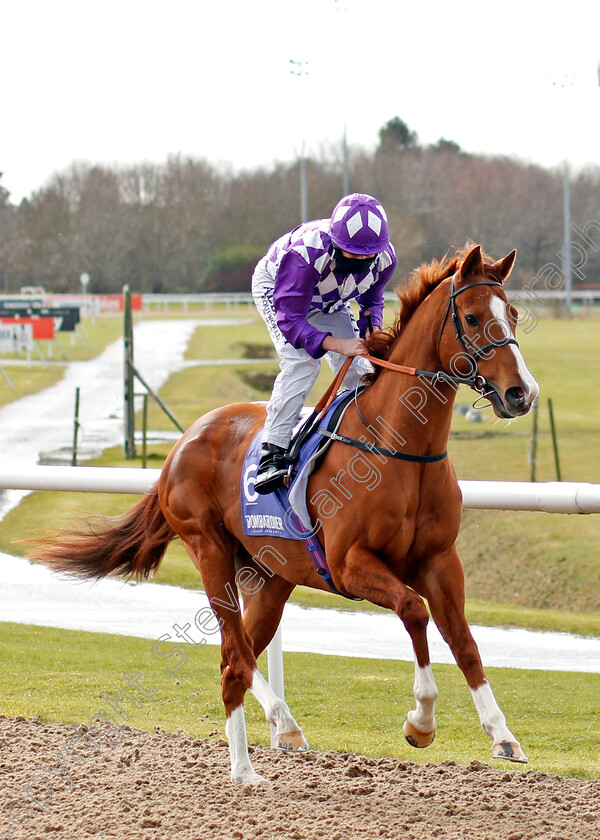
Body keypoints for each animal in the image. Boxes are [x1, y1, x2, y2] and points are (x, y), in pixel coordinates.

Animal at [34, 246, 540, 784]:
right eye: (472, 317)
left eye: (511, 314)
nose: (521, 393)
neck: (401, 448)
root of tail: (182, 442)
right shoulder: (349, 564)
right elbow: (414, 610)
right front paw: (420, 722)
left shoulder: (440, 561)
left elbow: (464, 641)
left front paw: (503, 735)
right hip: (210, 551)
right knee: (235, 654)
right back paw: (262, 749)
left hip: (271, 577)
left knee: (233, 661)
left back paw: (264, 748)